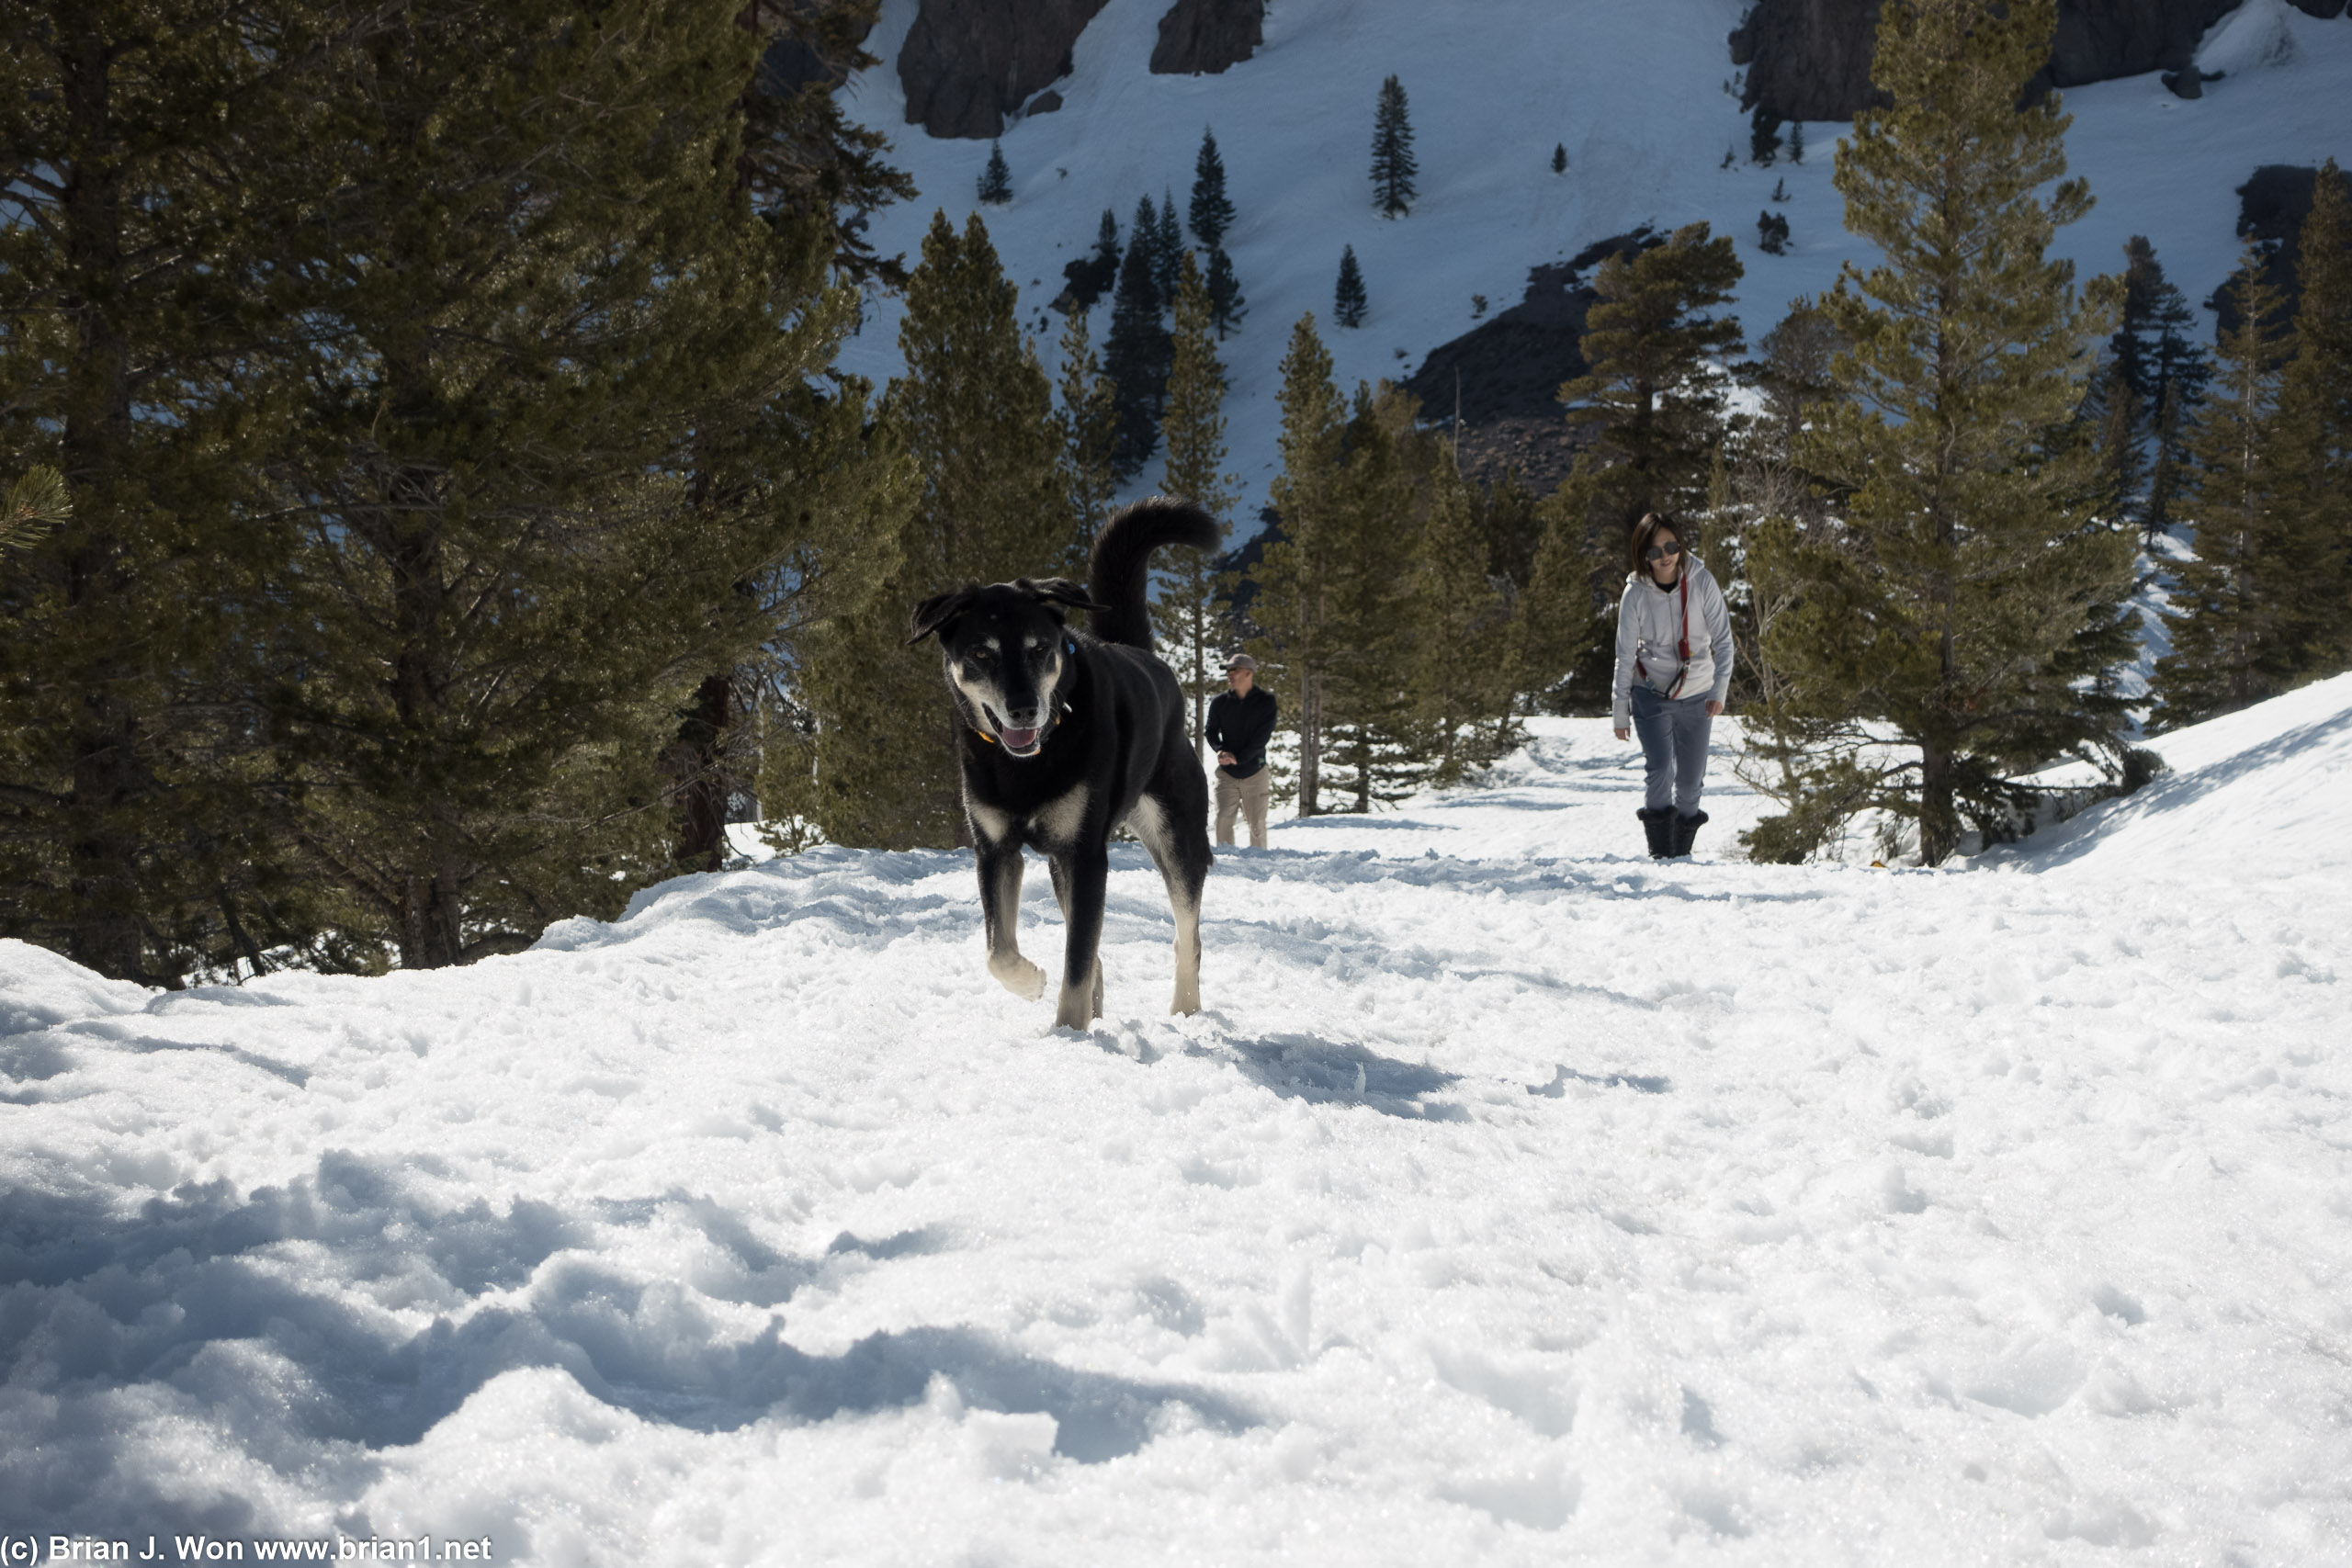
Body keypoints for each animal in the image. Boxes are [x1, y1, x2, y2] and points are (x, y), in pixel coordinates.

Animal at [908, 493, 1223, 1029]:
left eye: (1040, 648)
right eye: (981, 653)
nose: (1023, 708)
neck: (1027, 764)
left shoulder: (1087, 856)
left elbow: (1076, 962)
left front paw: (1068, 1034)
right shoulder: (996, 850)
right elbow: (999, 950)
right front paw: (1033, 981)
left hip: (1176, 839)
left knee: (1187, 938)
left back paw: (1184, 1010)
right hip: (1062, 865)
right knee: (1096, 950)